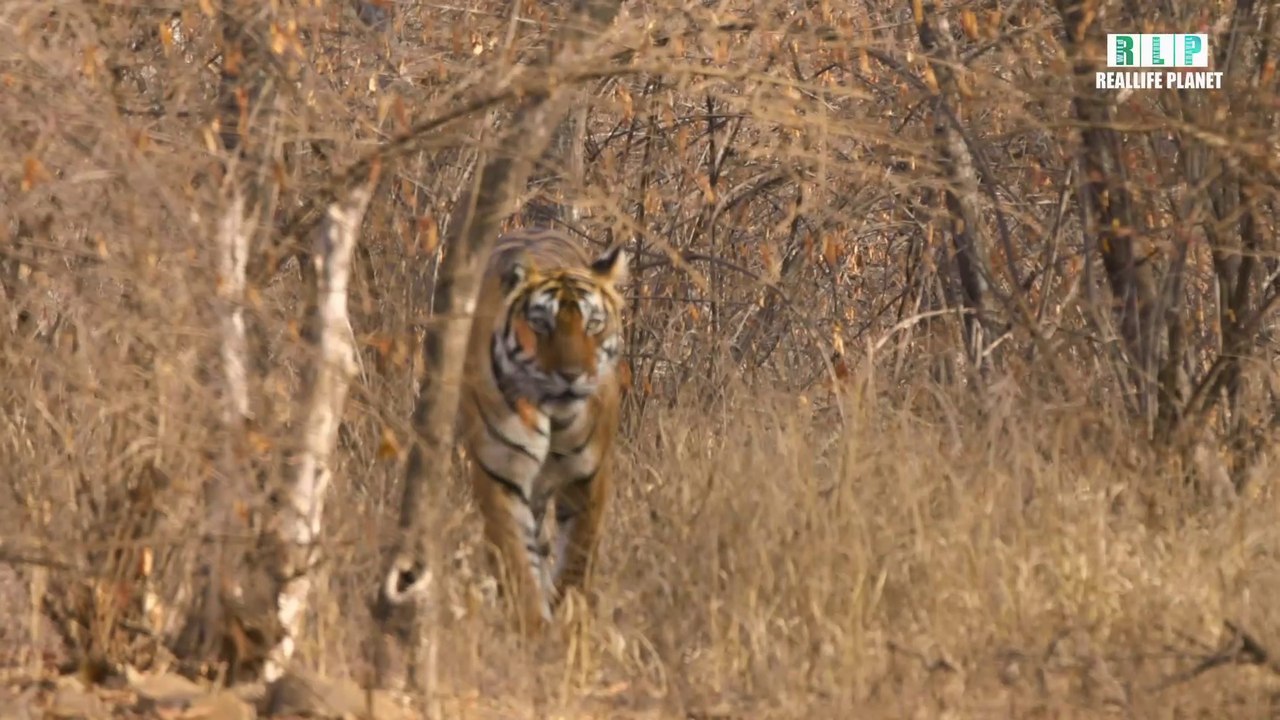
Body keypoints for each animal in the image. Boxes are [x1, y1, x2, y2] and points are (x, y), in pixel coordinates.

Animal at [459, 226, 629, 634]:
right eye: (540, 324)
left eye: (593, 324)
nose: (571, 375)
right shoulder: (500, 474)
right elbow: (517, 561)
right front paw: (533, 628)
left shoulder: (588, 479)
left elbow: (576, 562)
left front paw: (568, 619)